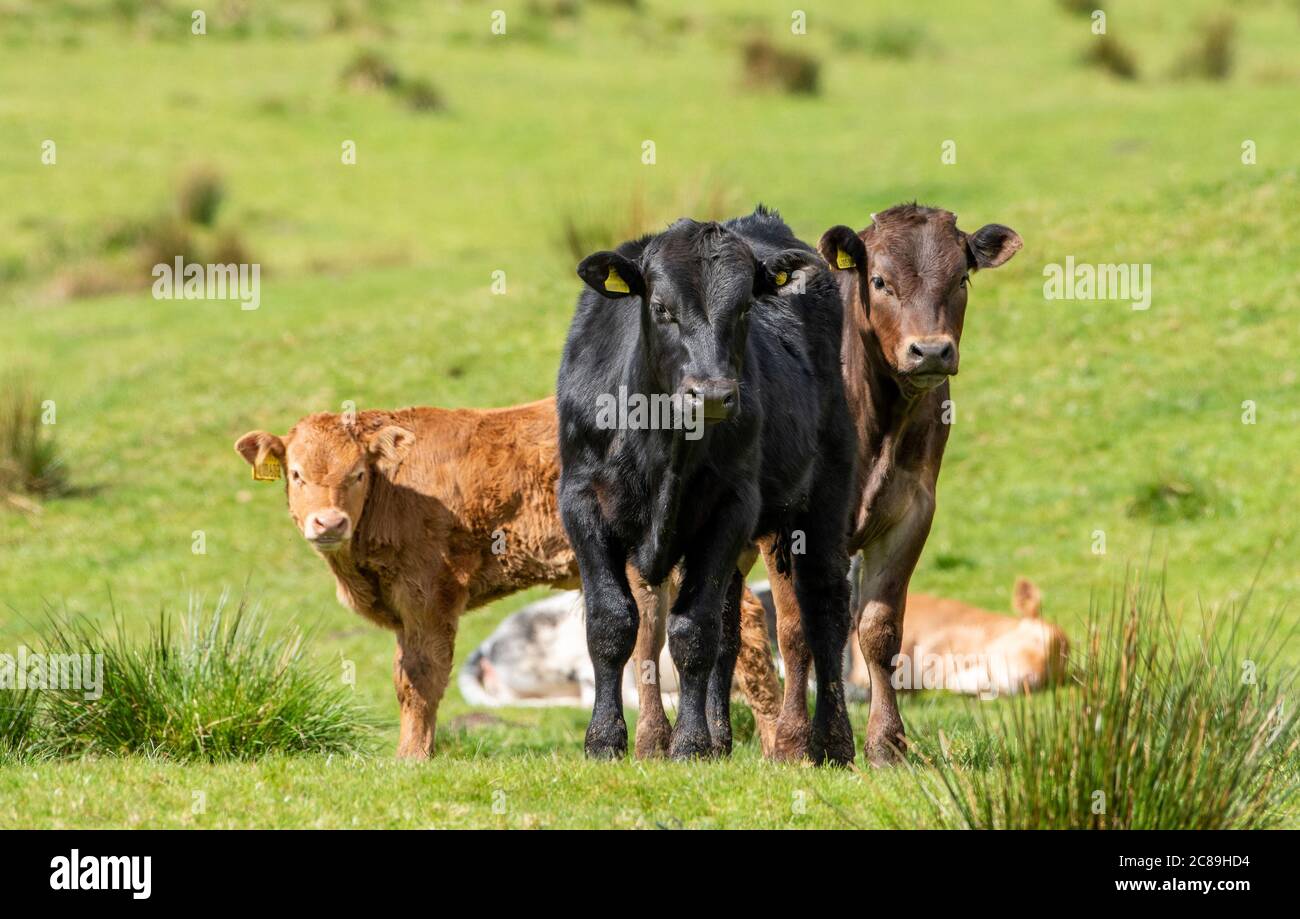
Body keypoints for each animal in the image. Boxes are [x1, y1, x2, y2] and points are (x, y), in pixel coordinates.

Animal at [759, 205, 1024, 764]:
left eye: (961, 278)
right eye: (879, 281)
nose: (931, 351)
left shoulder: (912, 511)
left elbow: (877, 629)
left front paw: (886, 743)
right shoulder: (787, 523)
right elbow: (795, 629)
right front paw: (794, 743)